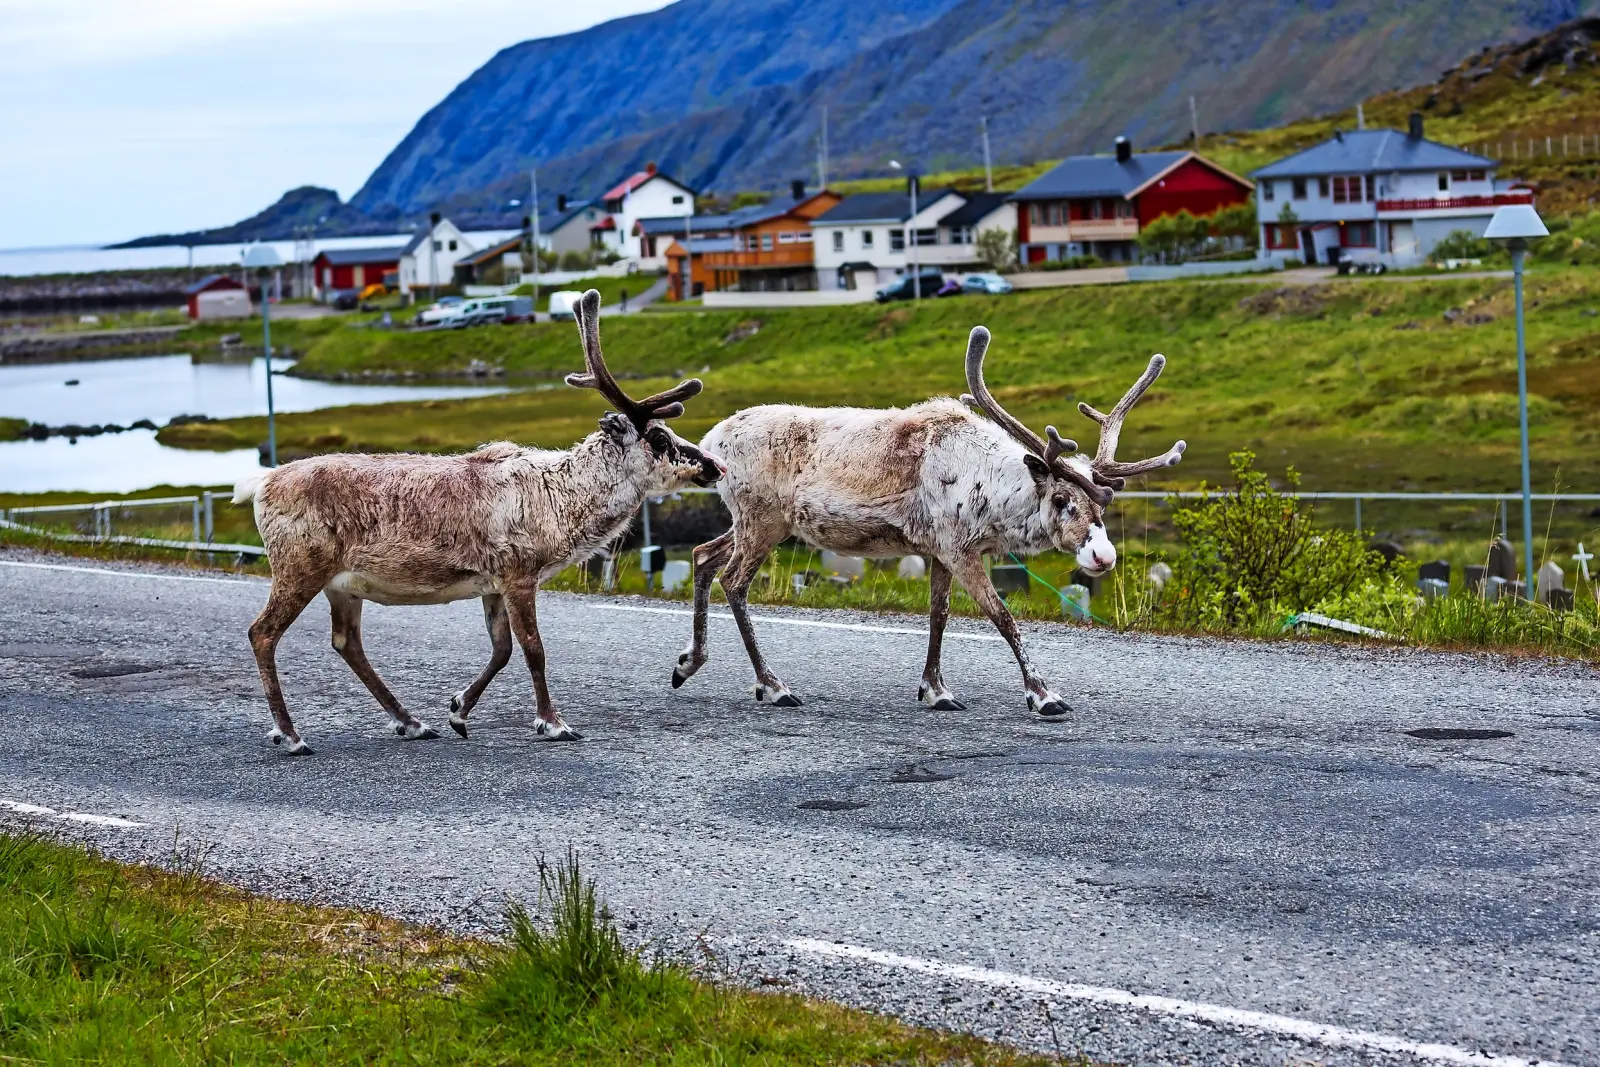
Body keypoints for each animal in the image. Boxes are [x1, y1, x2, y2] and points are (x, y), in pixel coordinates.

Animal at [235, 290, 724, 755]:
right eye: (658, 437)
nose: (714, 466)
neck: (562, 503)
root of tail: (259, 483)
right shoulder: (519, 574)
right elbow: (533, 649)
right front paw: (553, 723)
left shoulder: (492, 584)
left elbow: (502, 650)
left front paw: (457, 710)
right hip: (299, 566)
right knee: (263, 633)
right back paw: (291, 735)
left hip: (342, 585)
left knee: (346, 642)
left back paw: (412, 723)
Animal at [669, 324, 1183, 719]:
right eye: (1060, 499)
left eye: (1103, 505)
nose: (1103, 556)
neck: (989, 491)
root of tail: (710, 441)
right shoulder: (959, 548)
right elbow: (1004, 618)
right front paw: (1043, 695)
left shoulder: (939, 549)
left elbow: (939, 615)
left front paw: (936, 690)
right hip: (763, 519)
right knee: (734, 581)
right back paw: (774, 686)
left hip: (750, 522)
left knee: (703, 555)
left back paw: (688, 662)